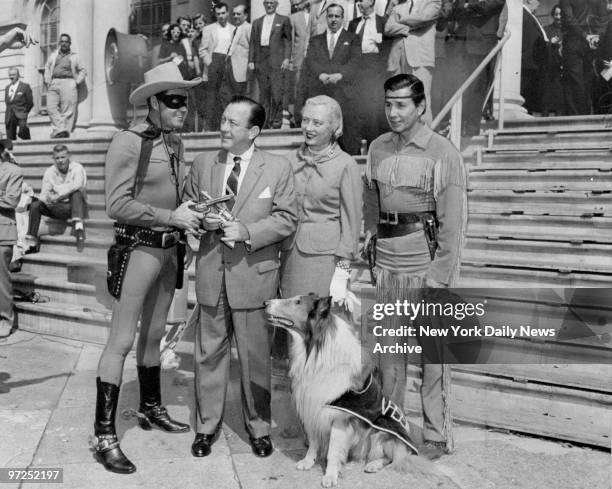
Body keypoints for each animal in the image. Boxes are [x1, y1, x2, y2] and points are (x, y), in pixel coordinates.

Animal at [264, 292, 430, 486]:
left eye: (297, 302)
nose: (265, 303)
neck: (316, 350)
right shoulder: (312, 408)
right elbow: (313, 442)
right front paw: (308, 461)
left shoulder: (339, 419)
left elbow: (333, 451)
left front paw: (330, 476)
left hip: (380, 433)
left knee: (392, 458)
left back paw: (373, 465)